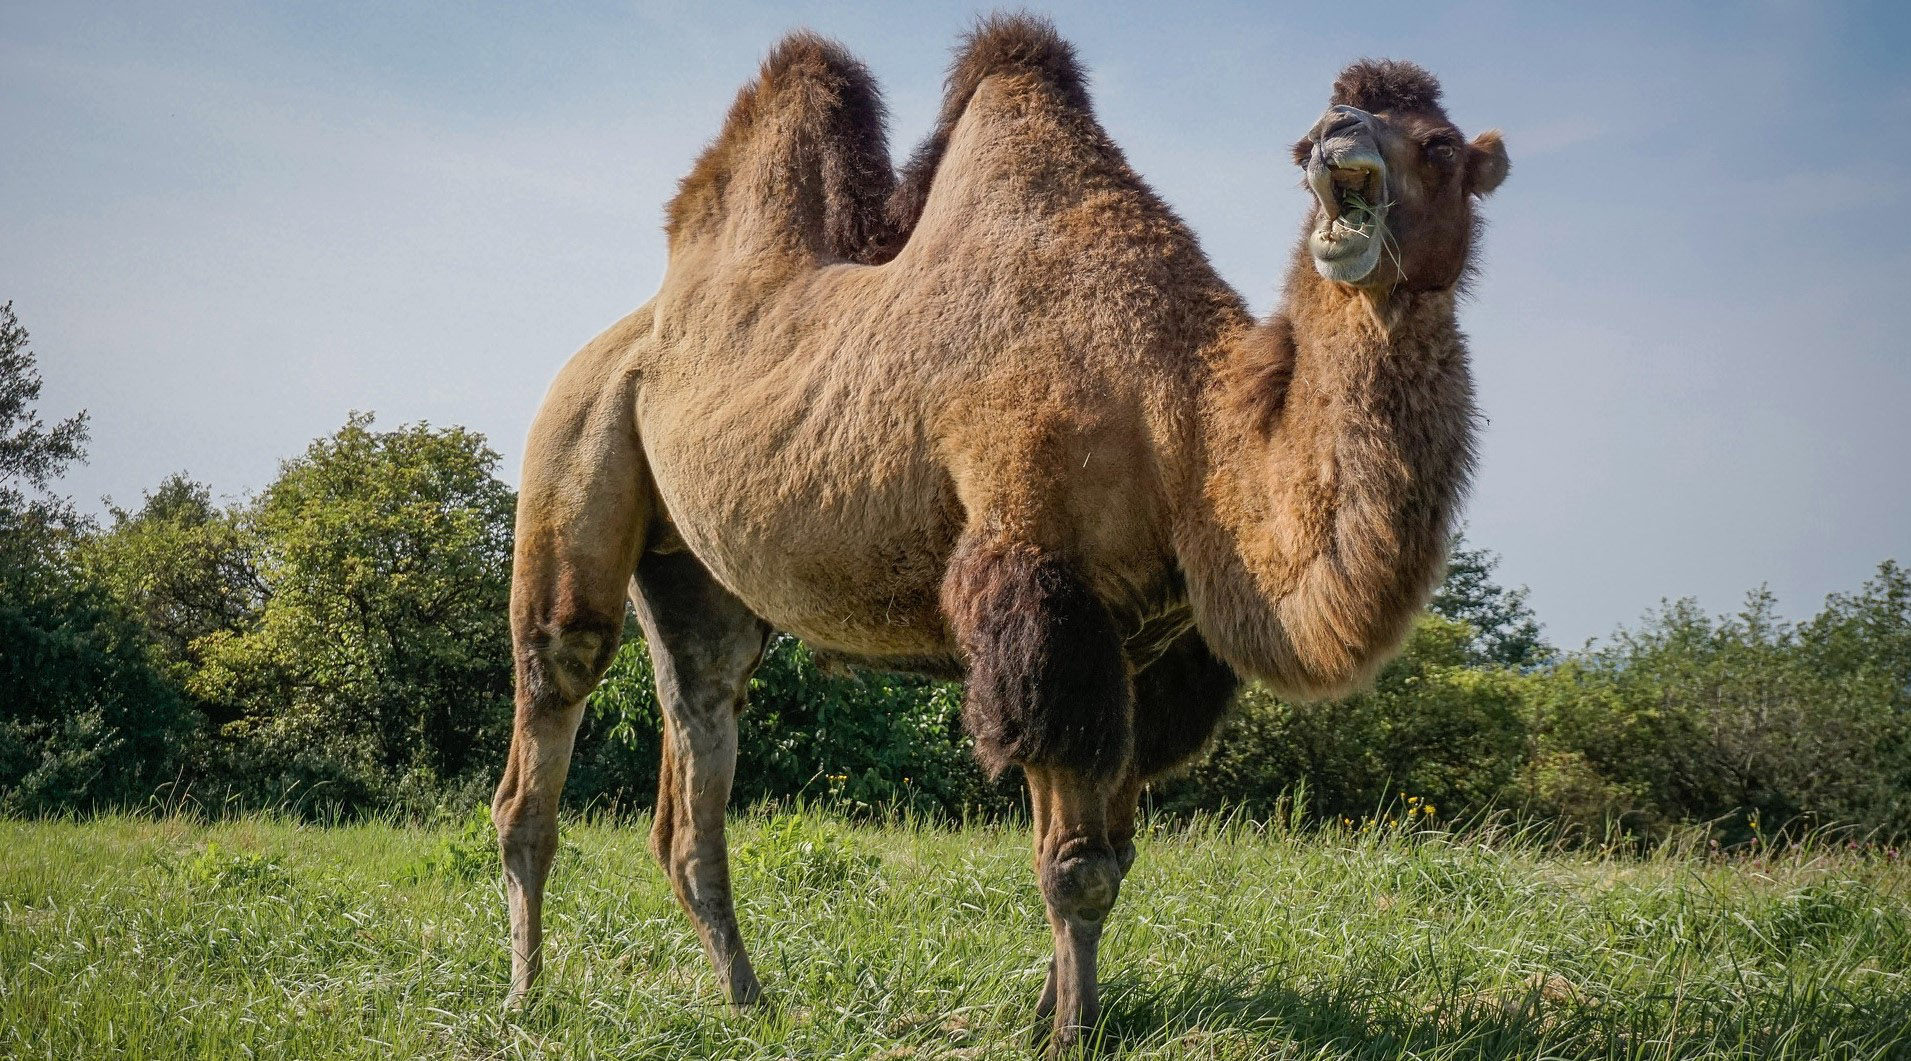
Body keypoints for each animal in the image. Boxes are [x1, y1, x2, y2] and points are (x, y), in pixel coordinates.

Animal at [493, 16, 1505, 1055]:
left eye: (1437, 144)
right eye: (1310, 139)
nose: (1336, 136)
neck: (1185, 414)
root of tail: (618, 338)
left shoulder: (1142, 649)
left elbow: (1111, 853)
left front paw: (1048, 1011)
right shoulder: (1039, 589)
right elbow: (1077, 866)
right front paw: (1070, 1032)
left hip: (695, 573)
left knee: (697, 737)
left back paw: (747, 998)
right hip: (575, 442)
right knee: (549, 710)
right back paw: (527, 996)